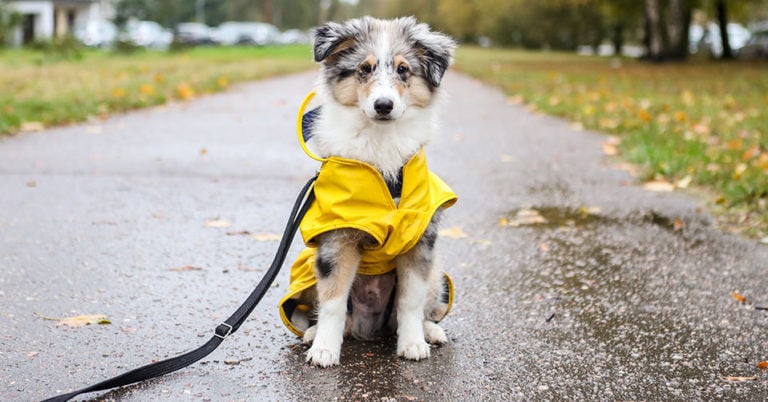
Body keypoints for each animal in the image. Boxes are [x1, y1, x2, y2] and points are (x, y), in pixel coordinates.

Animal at [284, 15, 460, 368]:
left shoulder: (420, 240)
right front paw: (324, 349)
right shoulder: (337, 239)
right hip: (307, 267)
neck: (380, 145)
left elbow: (409, 300)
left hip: (436, 273)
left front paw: (413, 343)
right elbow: (333, 300)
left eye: (403, 70)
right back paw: (313, 333)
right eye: (364, 69)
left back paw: (430, 331)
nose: (383, 105)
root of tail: (369, 325)